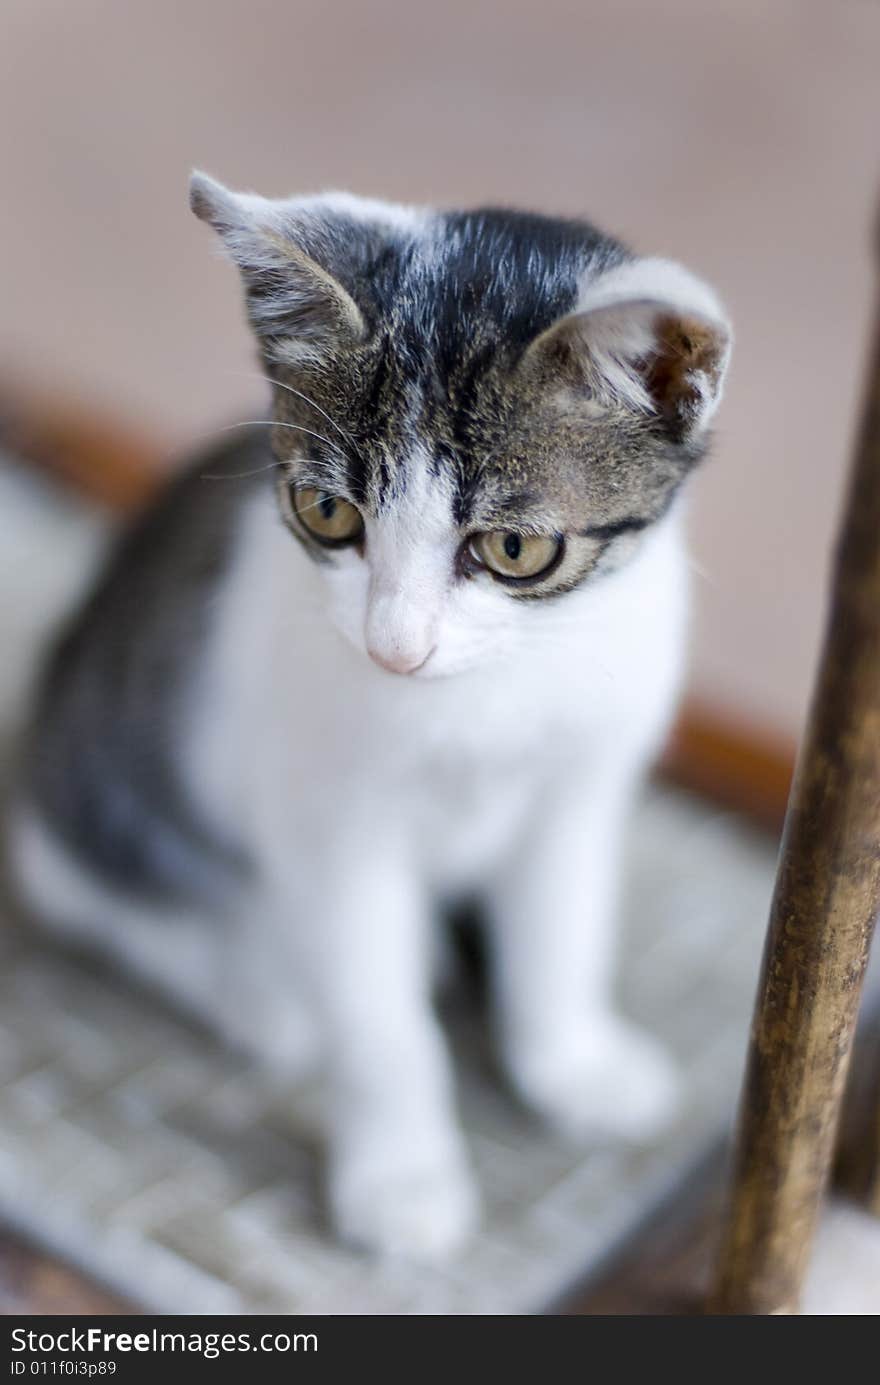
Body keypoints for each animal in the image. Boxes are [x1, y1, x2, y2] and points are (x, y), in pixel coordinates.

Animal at [6, 173, 731, 1257]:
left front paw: (574, 1065)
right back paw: (257, 989)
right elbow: (379, 1023)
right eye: (328, 513)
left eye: (515, 549)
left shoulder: (581, 788)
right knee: (91, 886)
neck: (490, 694)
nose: (396, 647)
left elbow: (560, 931)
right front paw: (402, 1179)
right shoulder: (331, 833)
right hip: (107, 776)